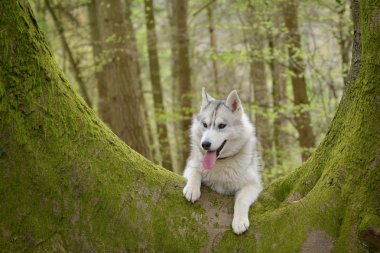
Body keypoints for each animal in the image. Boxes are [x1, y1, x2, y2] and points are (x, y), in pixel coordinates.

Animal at [183, 88, 262, 234]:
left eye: (221, 126)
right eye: (205, 124)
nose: (205, 144)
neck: (221, 162)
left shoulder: (253, 184)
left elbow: (241, 200)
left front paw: (239, 221)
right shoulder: (190, 166)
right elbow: (195, 173)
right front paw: (192, 189)